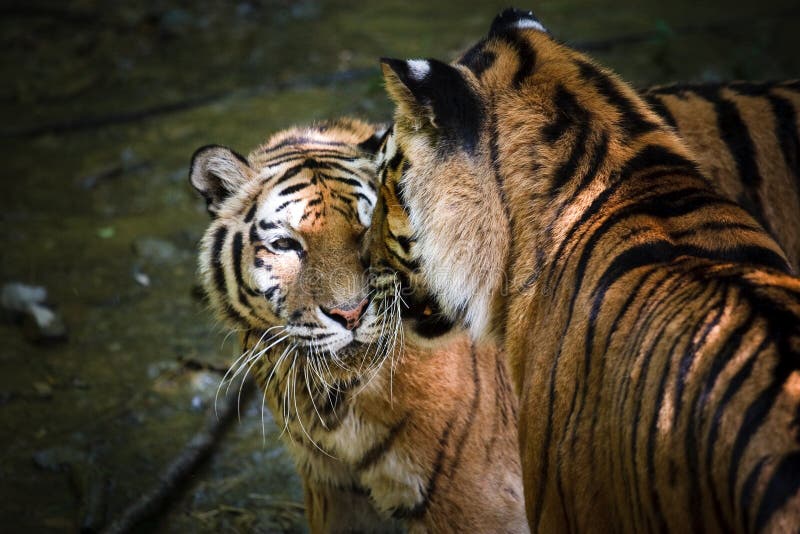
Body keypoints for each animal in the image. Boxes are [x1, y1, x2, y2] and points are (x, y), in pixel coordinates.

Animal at [189, 118, 527, 534]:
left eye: (370, 228)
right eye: (285, 244)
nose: (350, 313)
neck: (338, 403)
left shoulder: (474, 500)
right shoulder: (334, 489)